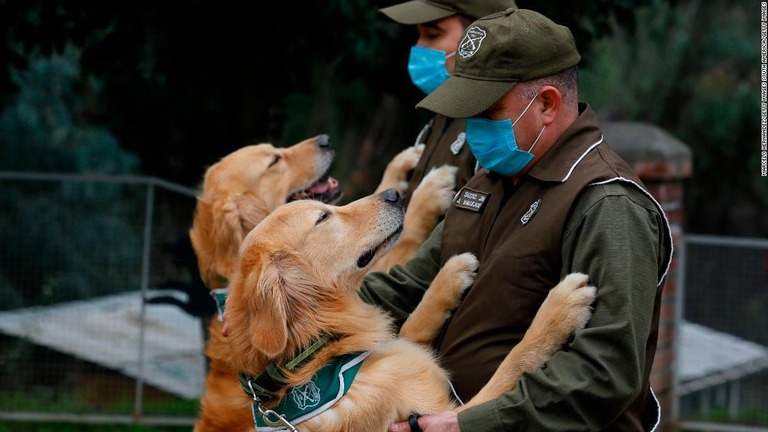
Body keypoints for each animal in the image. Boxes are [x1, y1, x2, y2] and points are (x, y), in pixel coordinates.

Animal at [225, 190, 596, 432]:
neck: (319, 352)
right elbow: (513, 363)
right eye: (324, 217)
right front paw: (561, 308)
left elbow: (414, 323)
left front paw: (451, 273)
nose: (393, 193)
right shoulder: (444, 414)